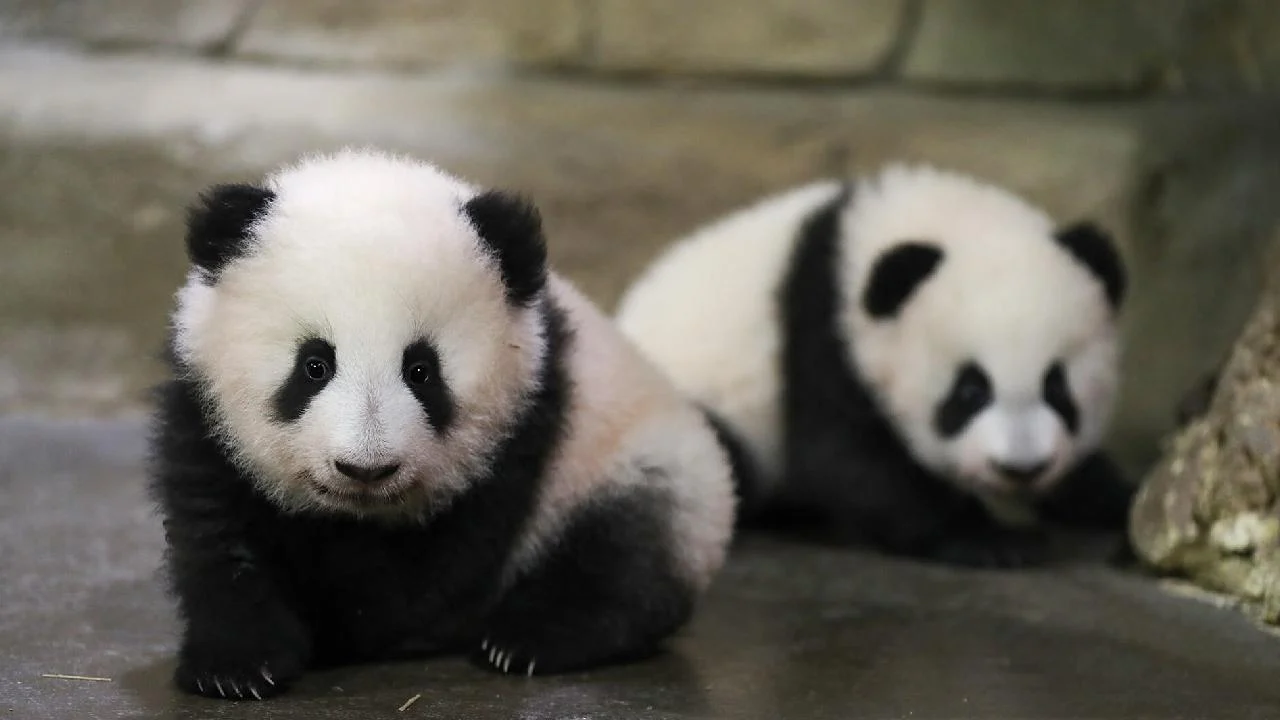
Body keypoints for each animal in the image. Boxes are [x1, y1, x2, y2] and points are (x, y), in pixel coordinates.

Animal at [148, 148, 736, 700]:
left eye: (421, 370)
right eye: (315, 365)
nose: (365, 469)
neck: (356, 515)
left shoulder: (523, 428)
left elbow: (428, 576)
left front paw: (342, 625)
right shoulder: (204, 416)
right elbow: (217, 534)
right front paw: (236, 667)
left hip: (635, 461)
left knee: (622, 554)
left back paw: (528, 637)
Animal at [614, 164, 1133, 568]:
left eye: (1058, 388)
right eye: (970, 391)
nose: (1021, 467)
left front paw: (1111, 500)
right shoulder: (823, 332)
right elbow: (851, 460)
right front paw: (993, 540)